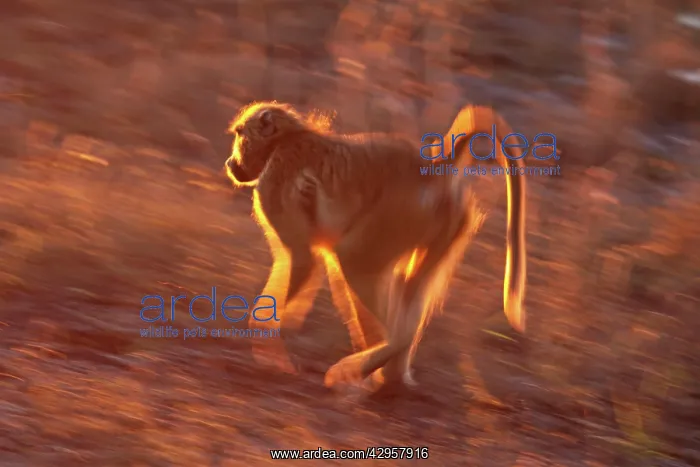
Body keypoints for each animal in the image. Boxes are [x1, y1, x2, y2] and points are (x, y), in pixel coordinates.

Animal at [224, 101, 527, 390]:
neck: (285, 140)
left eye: (240, 135)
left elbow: (303, 258)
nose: (230, 163)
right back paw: (390, 377)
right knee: (407, 285)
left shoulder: (274, 181)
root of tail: (433, 169)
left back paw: (362, 368)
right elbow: (309, 261)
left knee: (354, 263)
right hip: (446, 224)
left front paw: (267, 347)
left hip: (392, 216)